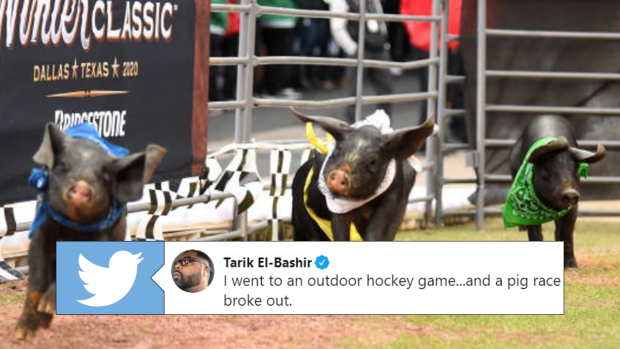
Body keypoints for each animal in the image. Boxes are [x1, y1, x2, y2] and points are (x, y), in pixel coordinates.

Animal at [16, 123, 166, 338]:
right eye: (63, 166)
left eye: (104, 175)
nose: (81, 186)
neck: (72, 228)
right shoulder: (40, 233)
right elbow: (36, 280)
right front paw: (22, 335)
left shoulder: (102, 239)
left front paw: (47, 306)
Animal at [292, 107, 434, 241]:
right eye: (339, 149)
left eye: (372, 161)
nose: (339, 175)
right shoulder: (336, 205)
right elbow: (340, 231)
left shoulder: (391, 198)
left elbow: (375, 231)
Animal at [508, 115, 604, 268]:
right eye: (547, 167)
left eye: (575, 167)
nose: (570, 193)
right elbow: (535, 233)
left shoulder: (573, 207)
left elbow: (566, 233)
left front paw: (571, 266)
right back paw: (521, 228)